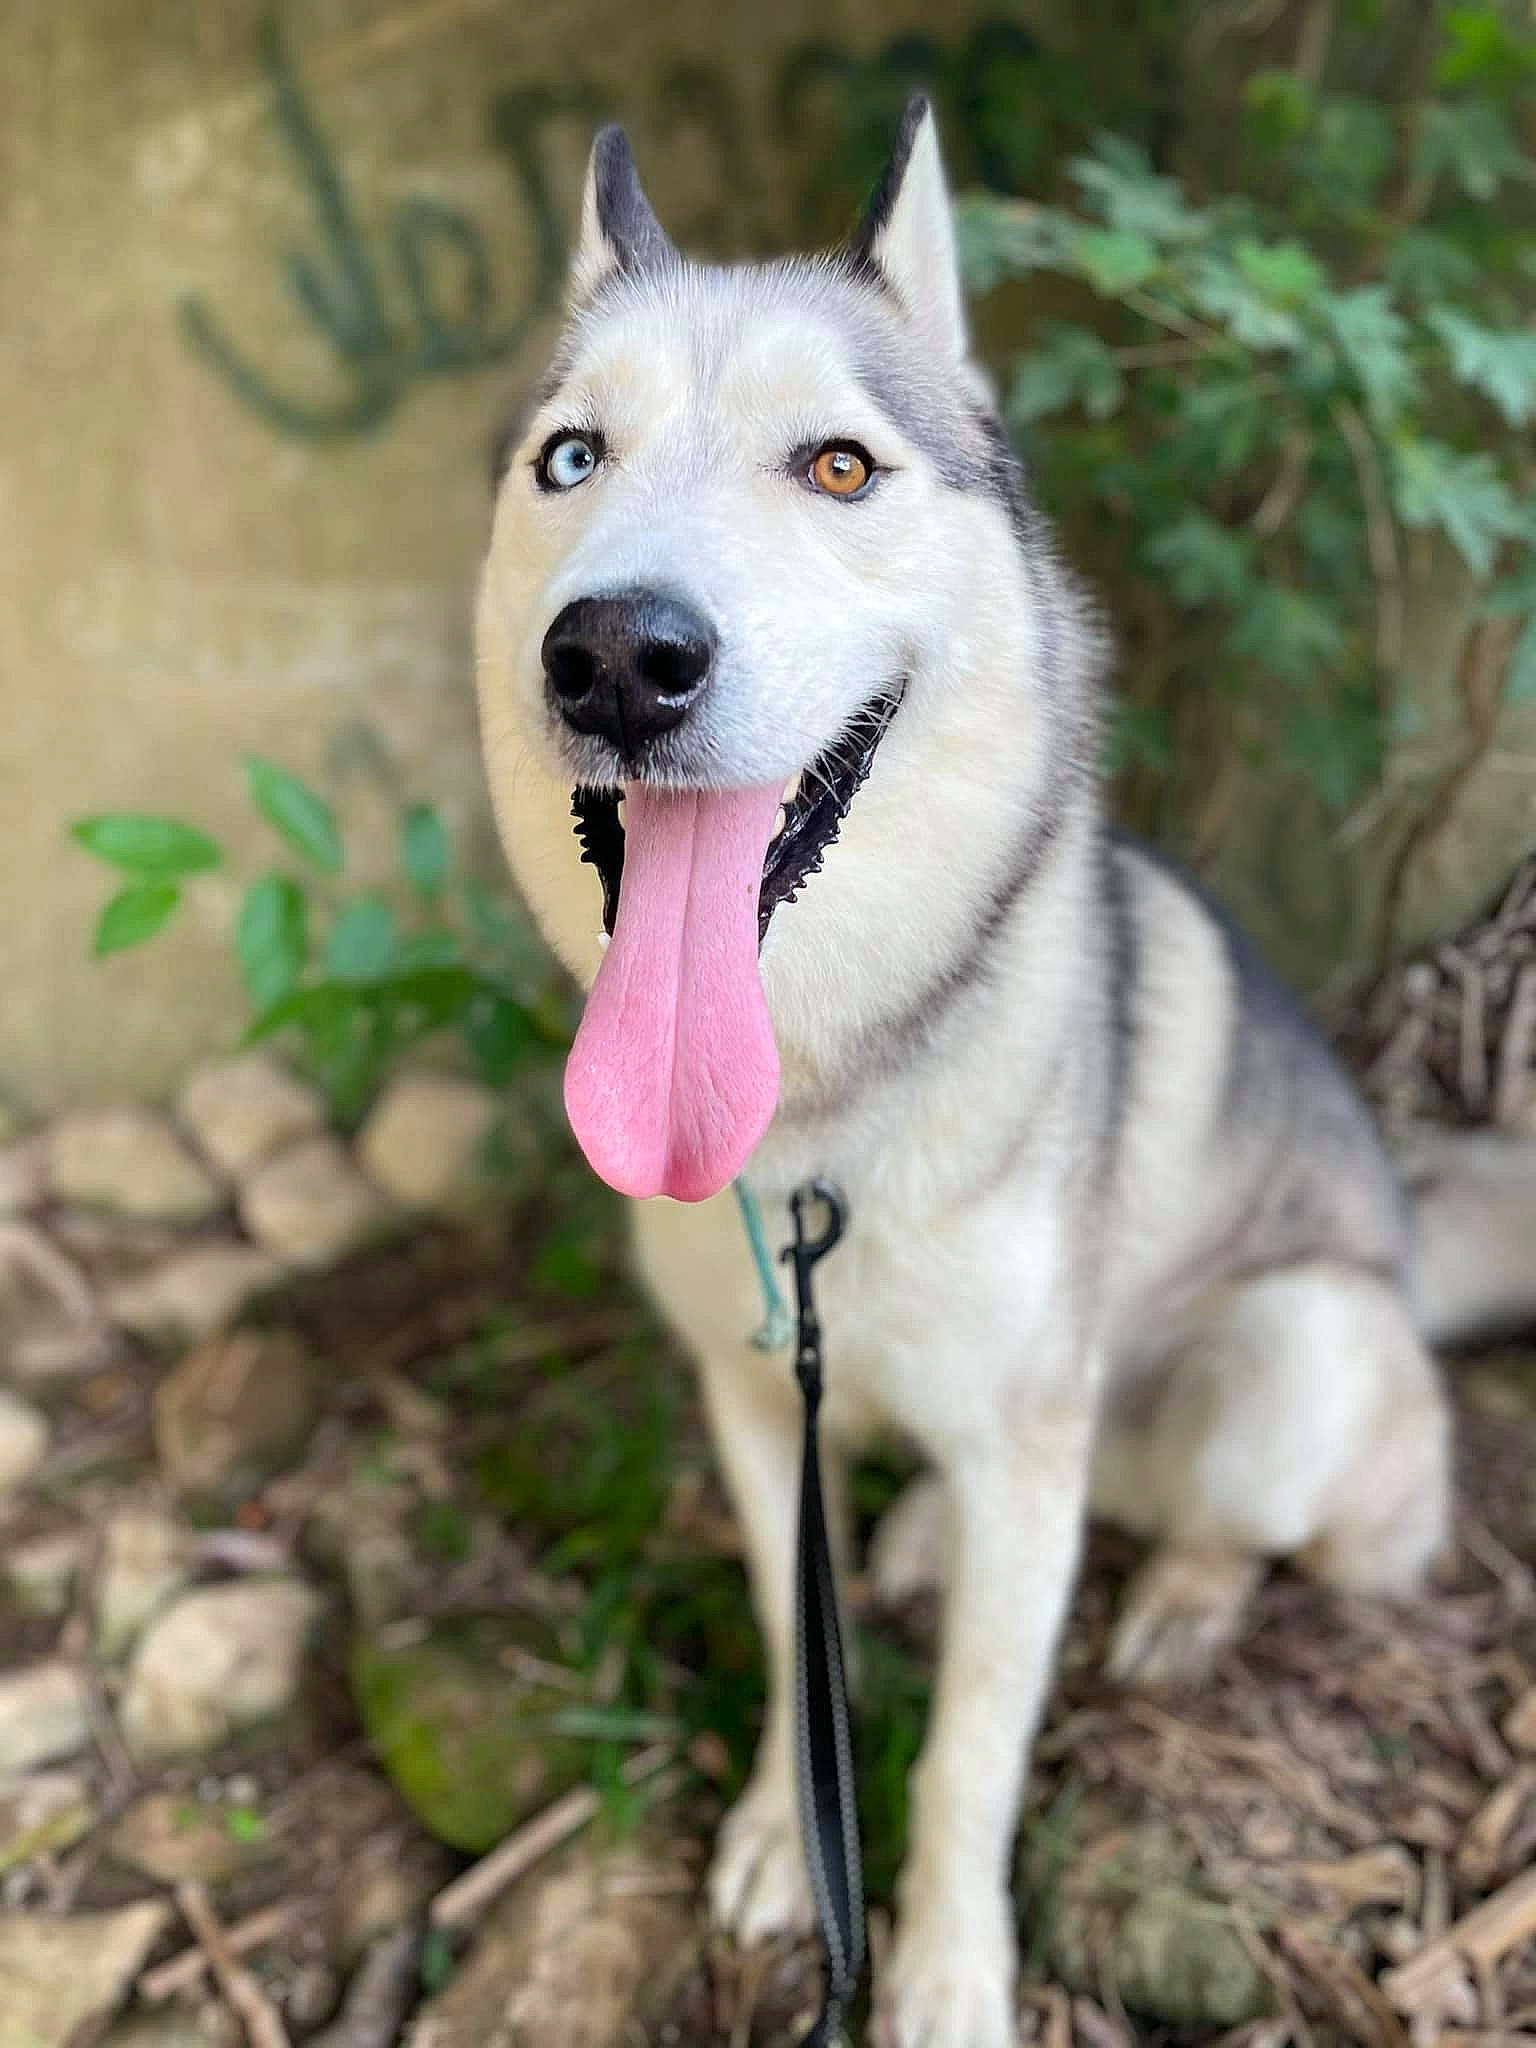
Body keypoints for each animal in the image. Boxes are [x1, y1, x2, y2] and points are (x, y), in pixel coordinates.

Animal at [475, 98, 1536, 2048]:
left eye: (837, 467)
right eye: (572, 458)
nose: (617, 656)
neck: (818, 1108)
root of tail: (1409, 1260)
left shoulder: (1028, 1455)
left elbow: (973, 1746)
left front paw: (951, 1964)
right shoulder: (757, 1402)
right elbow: (789, 1623)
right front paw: (783, 1827)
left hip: (1289, 1354)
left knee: (1235, 1515)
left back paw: (1184, 1594)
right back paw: (911, 1543)